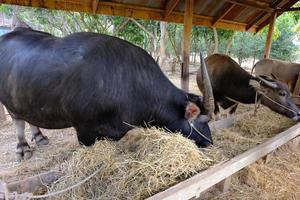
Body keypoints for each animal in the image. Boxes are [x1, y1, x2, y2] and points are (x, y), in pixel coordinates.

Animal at [0, 27, 214, 160]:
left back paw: (40, 137)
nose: (210, 142)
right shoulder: (84, 130)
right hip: (9, 102)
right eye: (203, 121)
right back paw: (23, 148)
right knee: (18, 120)